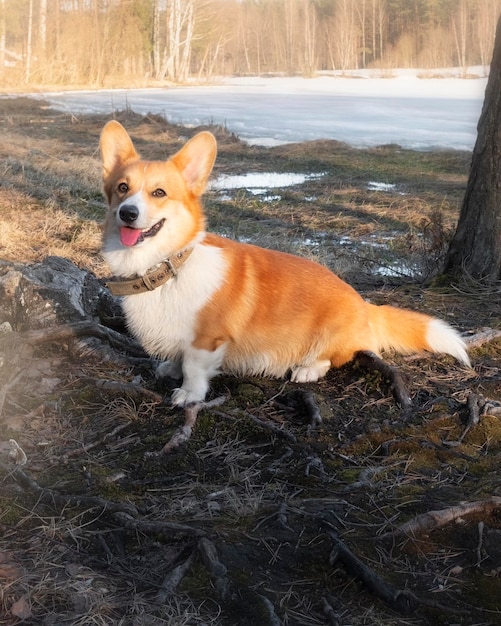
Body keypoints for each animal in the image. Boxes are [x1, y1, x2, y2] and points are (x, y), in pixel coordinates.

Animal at [98, 119, 468, 408]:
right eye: (122, 188)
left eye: (159, 193)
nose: (127, 213)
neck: (165, 265)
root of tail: (365, 305)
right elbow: (177, 357)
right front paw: (170, 370)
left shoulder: (207, 340)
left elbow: (193, 367)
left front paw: (188, 394)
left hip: (328, 336)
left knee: (333, 358)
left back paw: (306, 369)